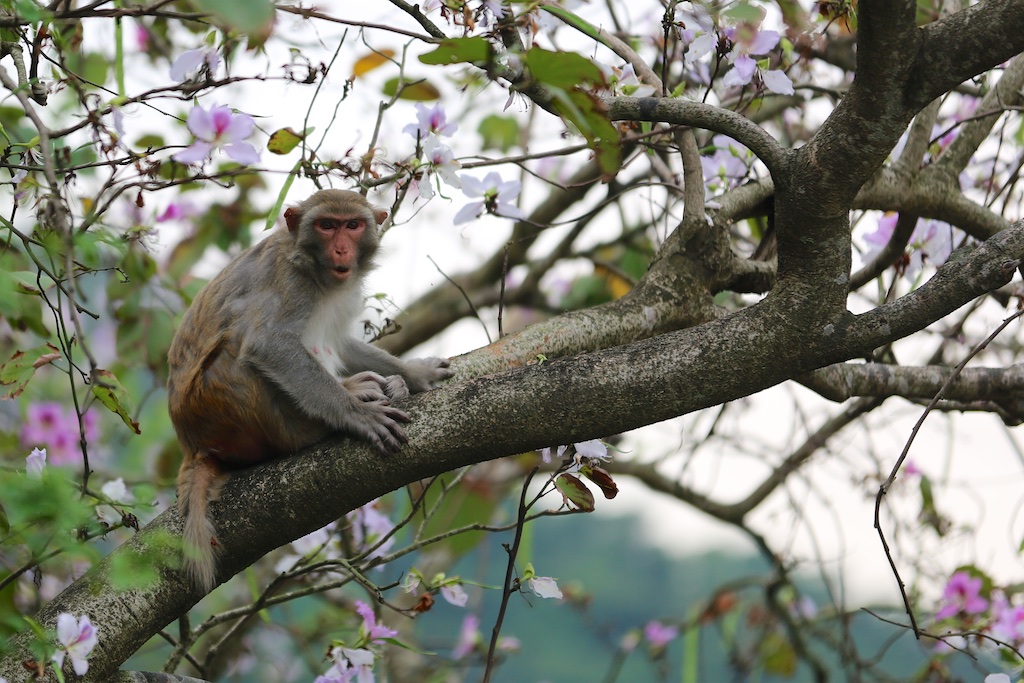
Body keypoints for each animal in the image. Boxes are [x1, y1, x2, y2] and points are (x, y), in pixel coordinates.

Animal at [166, 189, 448, 589]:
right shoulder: (290, 283)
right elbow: (269, 344)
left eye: (352, 225)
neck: (313, 270)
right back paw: (322, 424)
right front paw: (357, 414)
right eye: (327, 225)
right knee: (237, 353)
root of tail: (192, 443)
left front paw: (413, 372)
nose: (342, 250)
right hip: (224, 411)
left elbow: (342, 342)